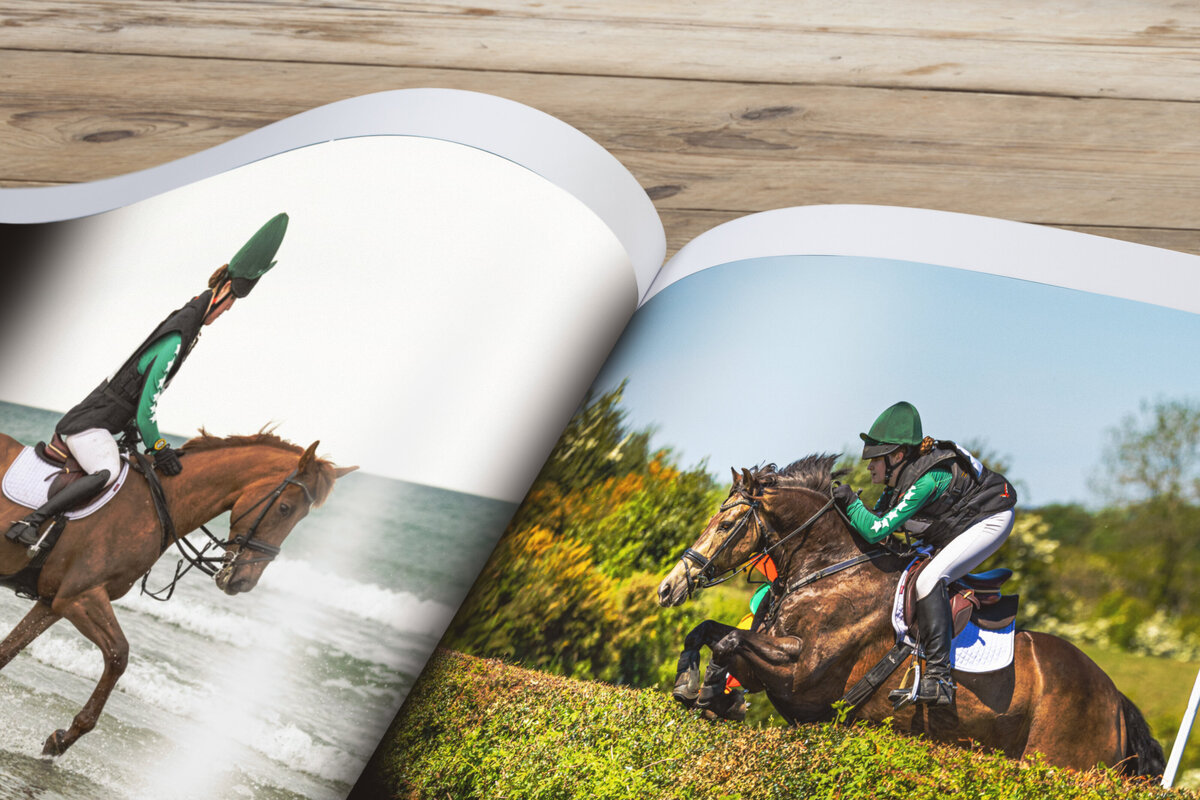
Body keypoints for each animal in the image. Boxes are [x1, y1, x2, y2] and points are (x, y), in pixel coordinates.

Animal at [0, 428, 357, 756]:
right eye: (284, 508)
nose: (244, 581)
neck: (154, 502)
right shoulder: (80, 597)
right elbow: (118, 656)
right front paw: (62, 739)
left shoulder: (53, 602)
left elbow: (8, 650)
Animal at [656, 455, 1165, 777]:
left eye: (725, 524)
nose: (669, 587)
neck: (829, 568)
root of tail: (1115, 698)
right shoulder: (772, 669)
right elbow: (705, 631)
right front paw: (692, 686)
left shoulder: (799, 672)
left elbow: (728, 641)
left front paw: (712, 693)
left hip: (1067, 763)